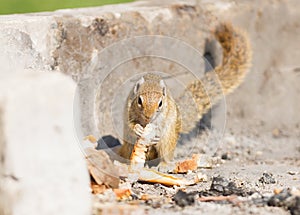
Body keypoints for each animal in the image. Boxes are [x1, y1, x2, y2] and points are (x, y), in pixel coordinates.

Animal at [118, 22, 252, 165]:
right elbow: (130, 123)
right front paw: (137, 128)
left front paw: (156, 134)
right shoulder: (128, 109)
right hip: (128, 145)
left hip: (168, 141)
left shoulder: (166, 116)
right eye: (139, 101)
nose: (148, 117)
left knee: (166, 154)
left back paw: (164, 164)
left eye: (160, 103)